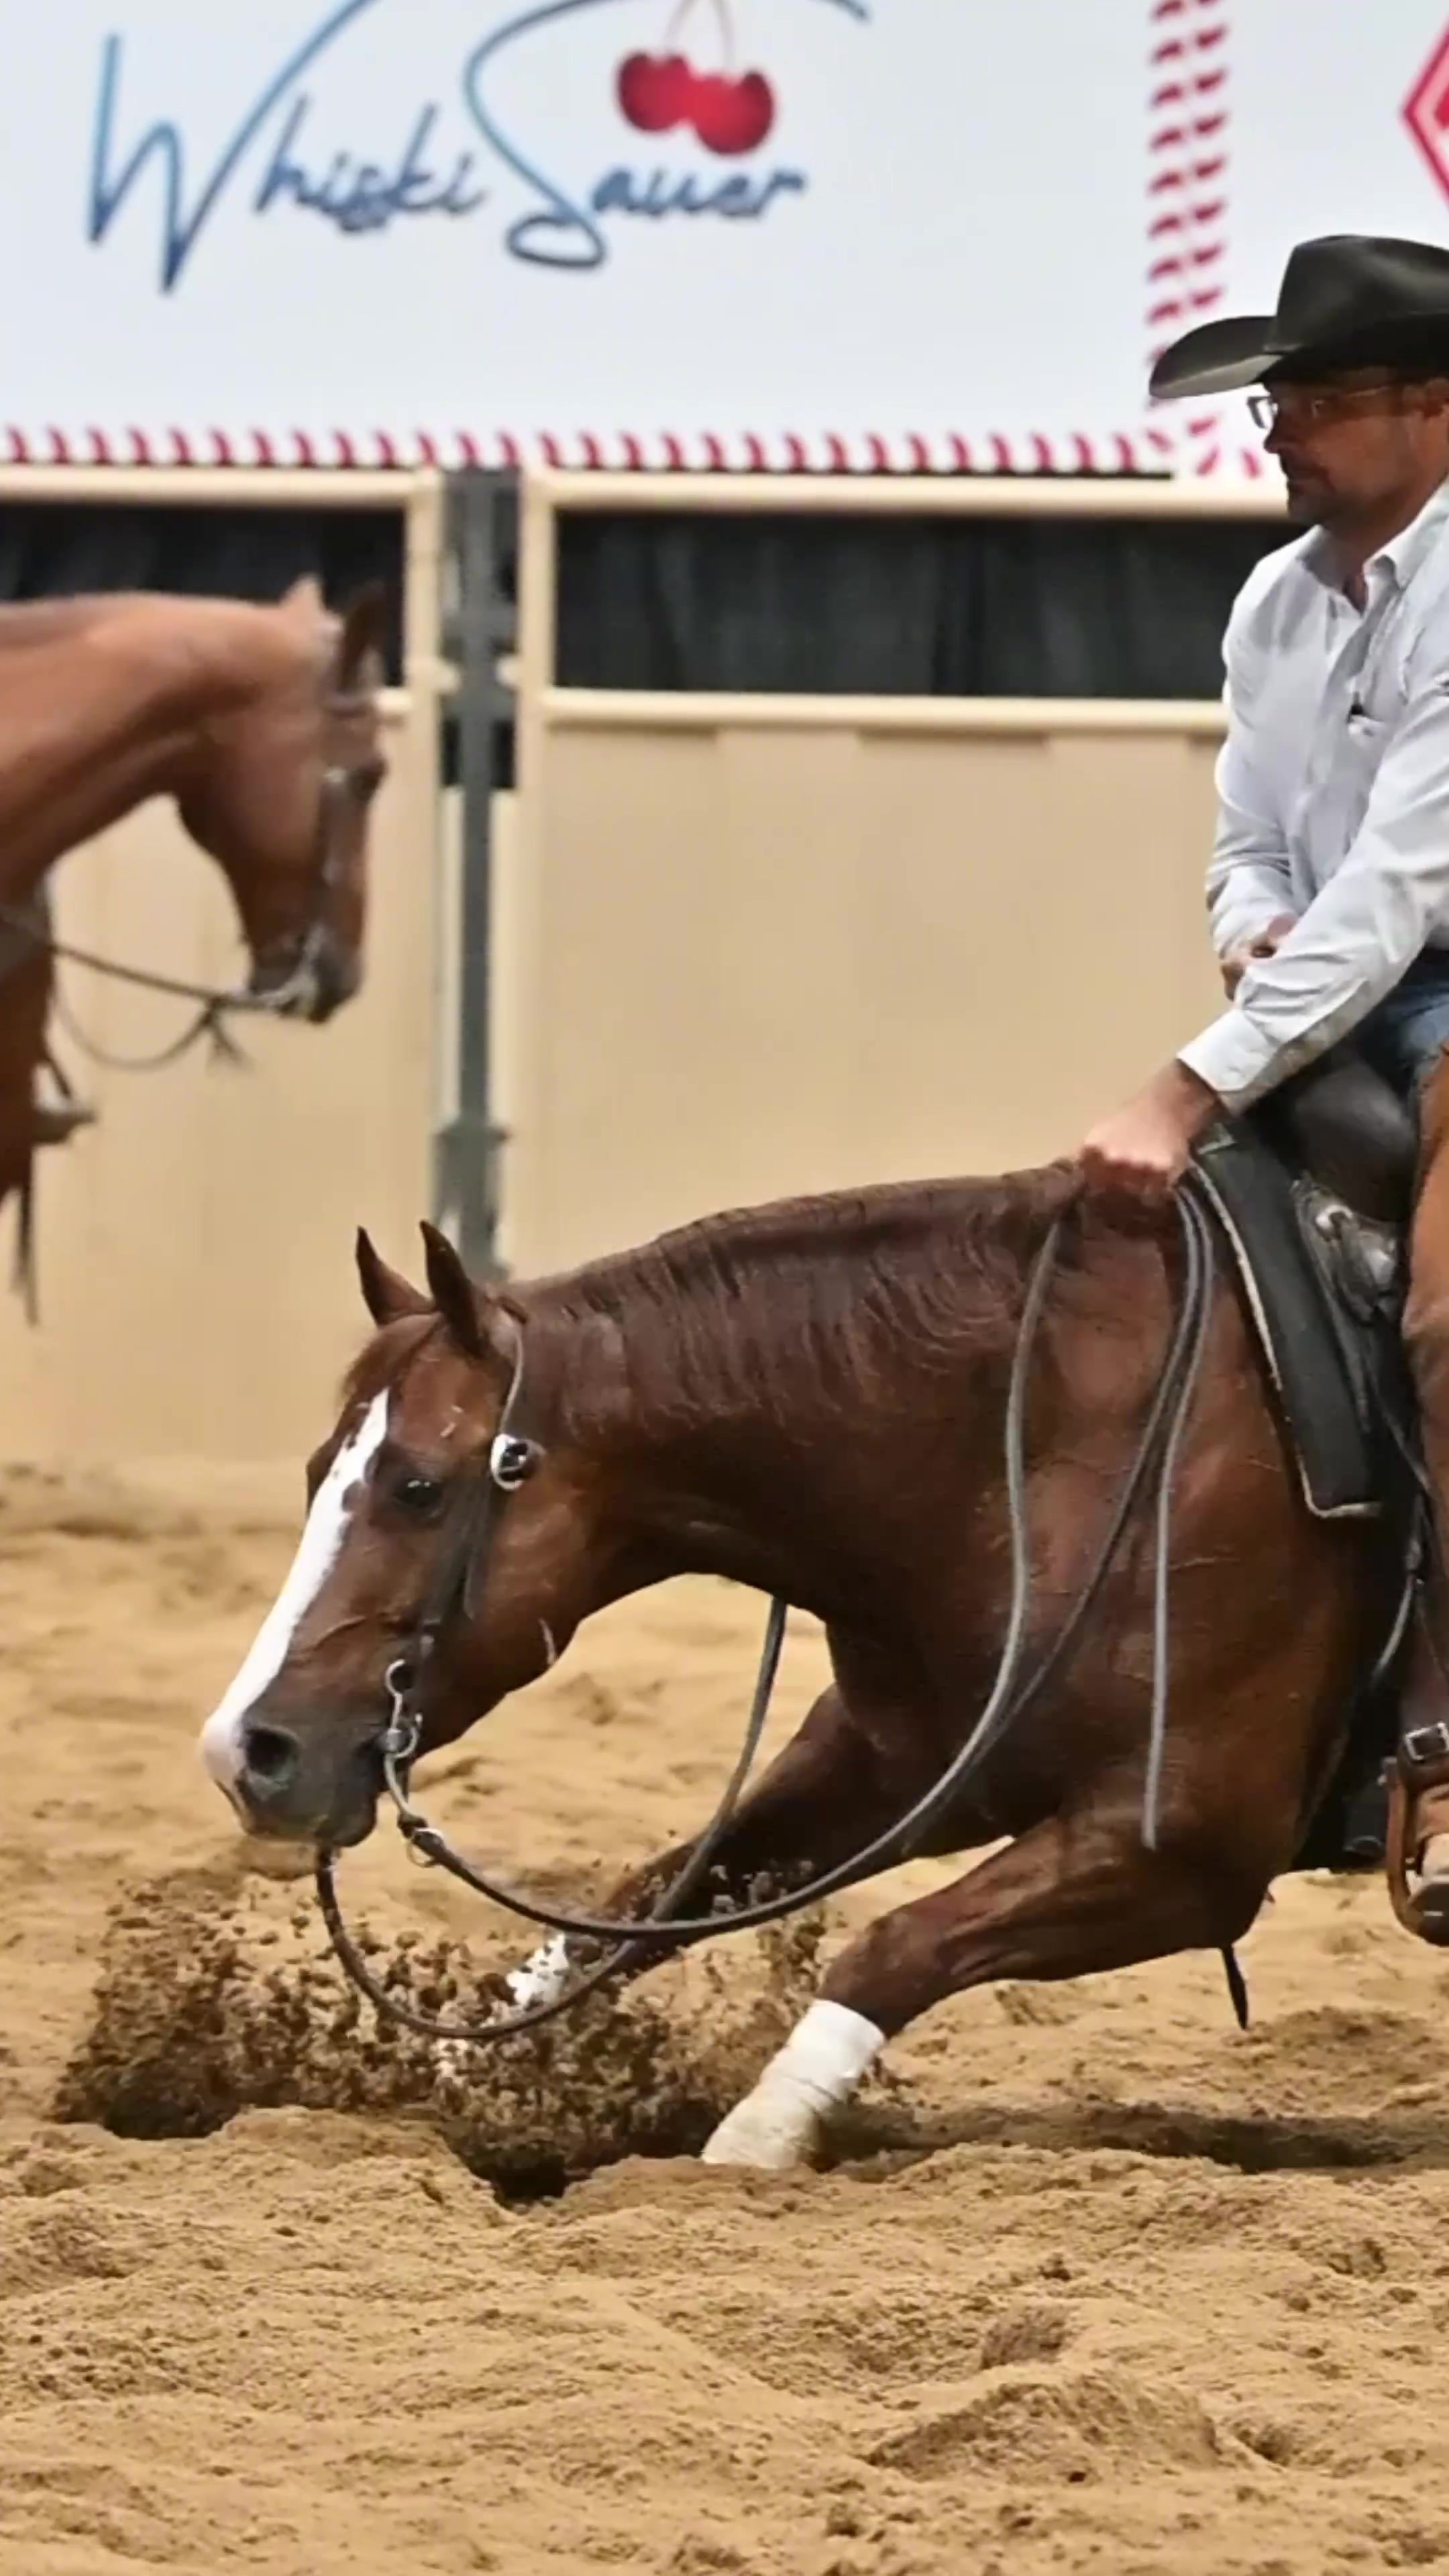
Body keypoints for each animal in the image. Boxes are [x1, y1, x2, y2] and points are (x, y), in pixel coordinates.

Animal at [198, 1172, 1397, 2170]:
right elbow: (651, 1901)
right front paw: (470, 2069)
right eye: (318, 1469)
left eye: (418, 1487)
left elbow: (892, 1947)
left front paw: (756, 2139)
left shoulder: (1185, 1850)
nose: (248, 1751)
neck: (1053, 1446)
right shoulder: (900, 1767)